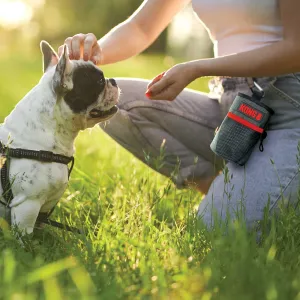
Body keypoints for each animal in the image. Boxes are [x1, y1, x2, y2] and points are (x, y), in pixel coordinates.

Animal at [0, 41, 119, 236]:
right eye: (100, 82)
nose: (114, 81)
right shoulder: (27, 206)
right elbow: (25, 238)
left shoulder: (44, 208)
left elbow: (40, 230)